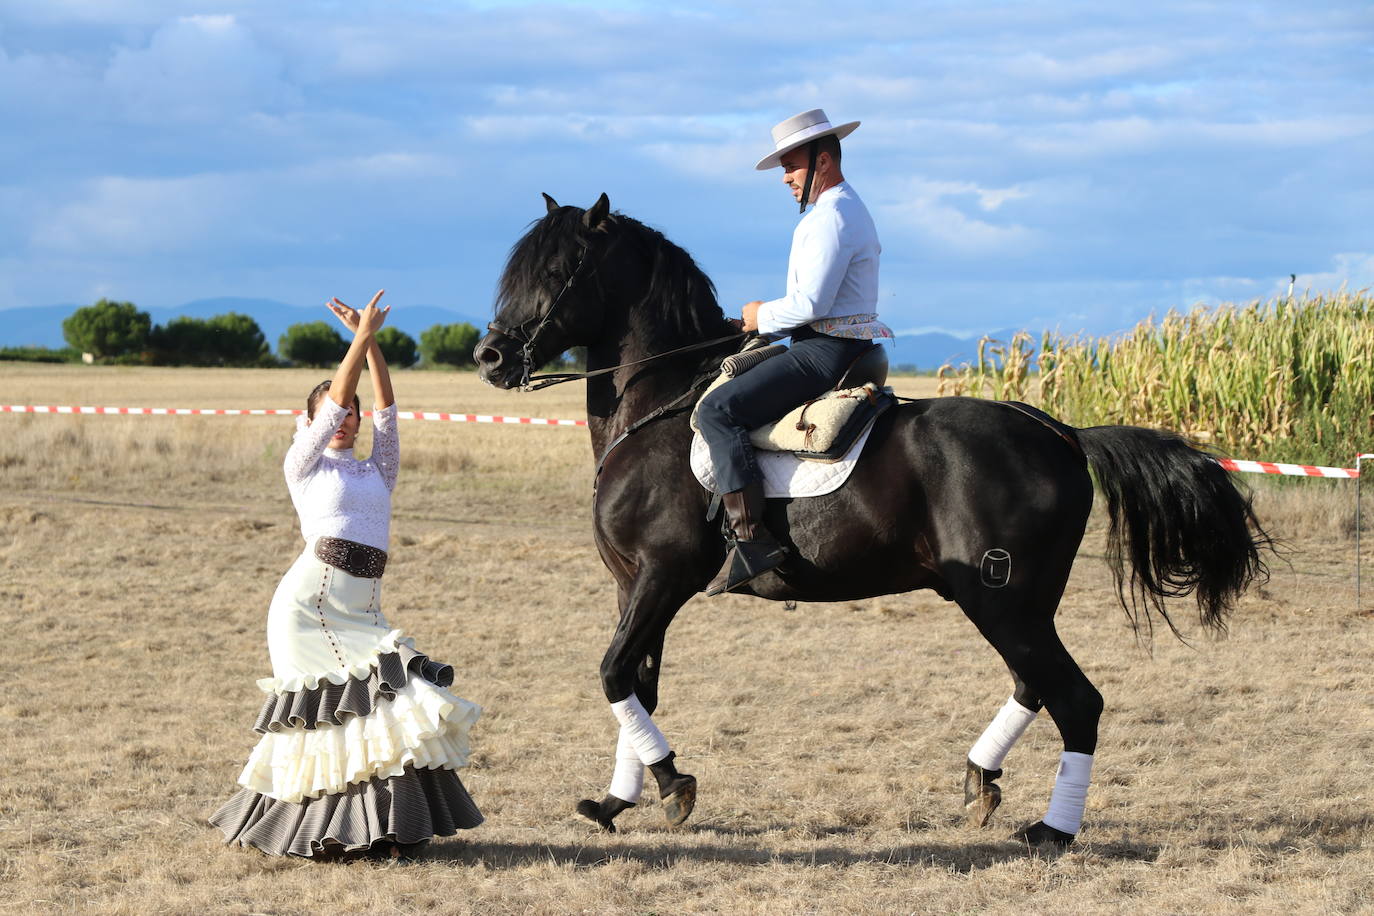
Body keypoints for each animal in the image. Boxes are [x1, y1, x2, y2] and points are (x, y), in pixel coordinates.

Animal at [475, 192, 1275, 845]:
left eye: (559, 270)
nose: (489, 357)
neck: (657, 411)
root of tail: (1062, 433)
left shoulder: (662, 577)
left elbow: (613, 673)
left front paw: (673, 784)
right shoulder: (634, 585)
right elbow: (637, 683)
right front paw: (617, 802)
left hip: (1000, 598)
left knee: (1076, 700)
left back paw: (1052, 831)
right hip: (1017, 600)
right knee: (1034, 685)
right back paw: (981, 781)